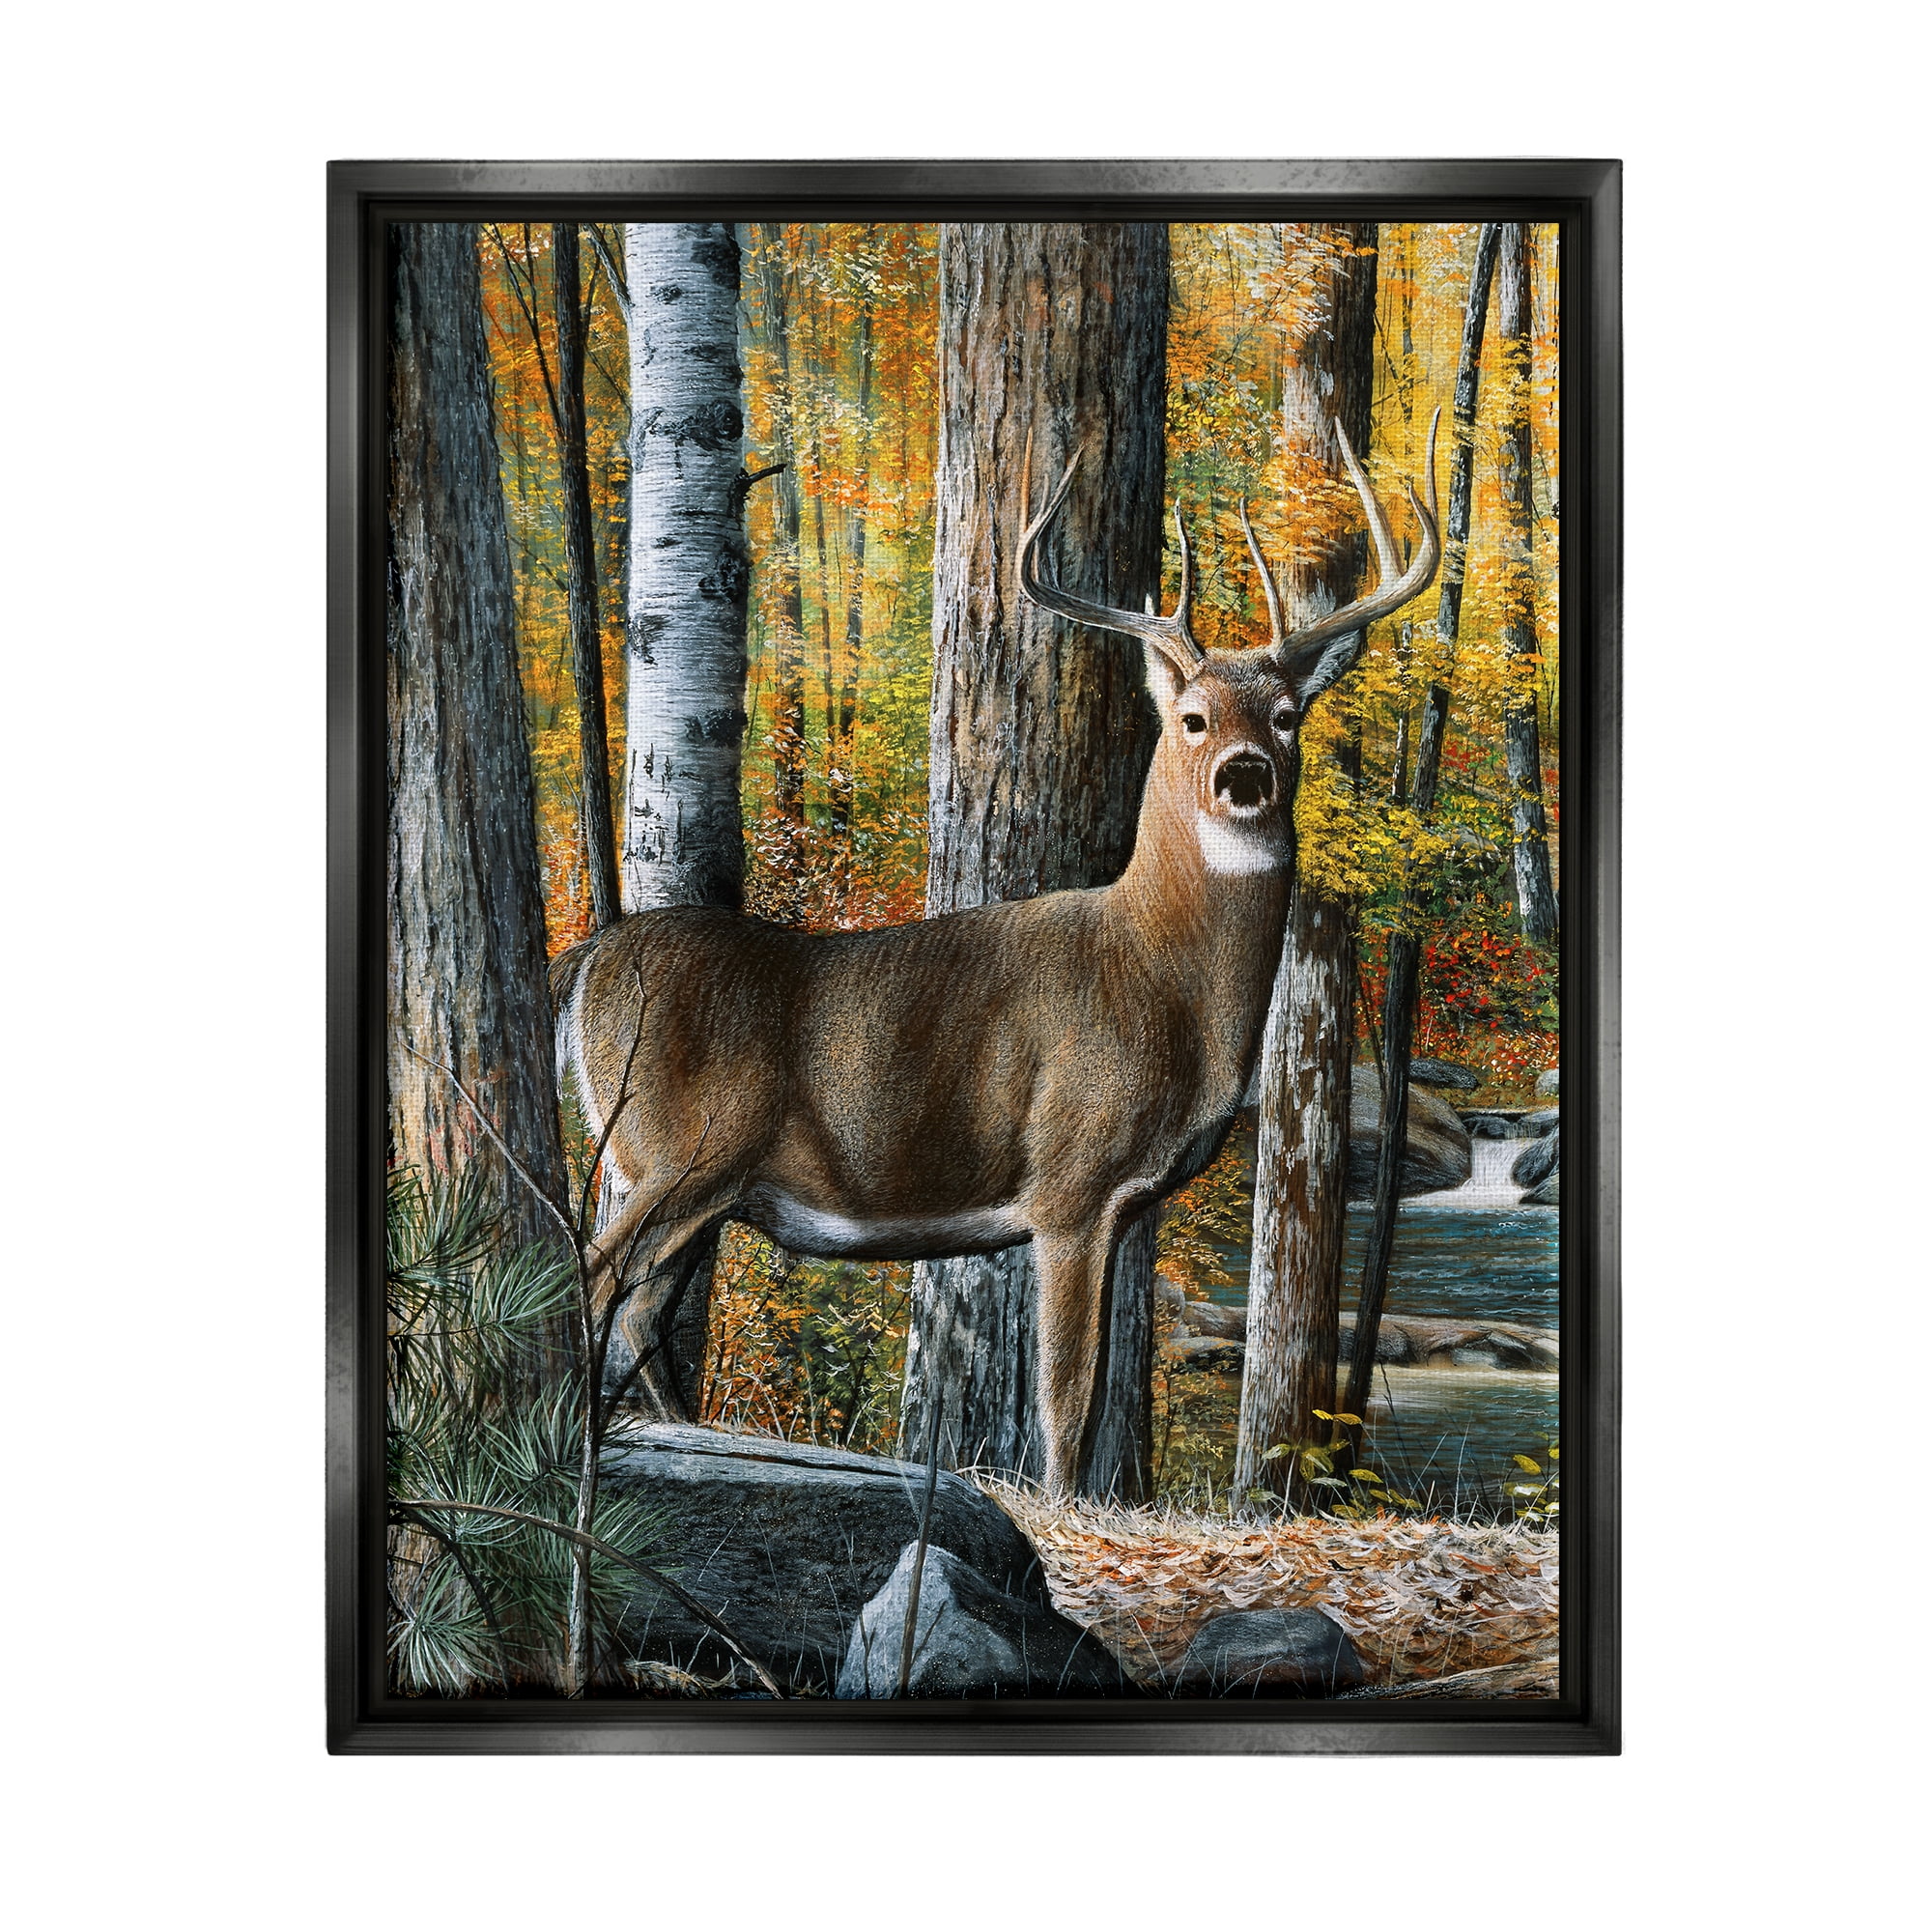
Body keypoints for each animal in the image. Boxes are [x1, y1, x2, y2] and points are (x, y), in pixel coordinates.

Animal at [551, 410, 1441, 1497]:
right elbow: (1066, 1394)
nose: (1242, 774)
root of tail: (589, 960)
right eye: (1192, 718)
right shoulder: (1069, 1176)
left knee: (636, 1305)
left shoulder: (1125, 1203)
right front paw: (1058, 1506)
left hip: (689, 1175)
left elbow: (1094, 1388)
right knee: (591, 1278)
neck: (1162, 978)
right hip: (678, 1146)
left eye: (1285, 715)